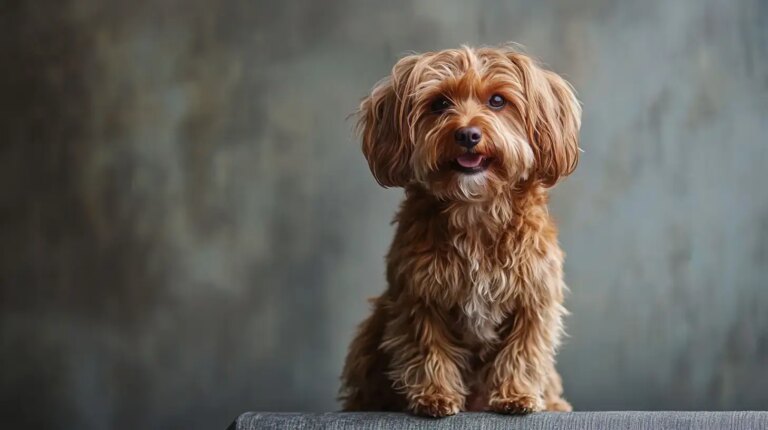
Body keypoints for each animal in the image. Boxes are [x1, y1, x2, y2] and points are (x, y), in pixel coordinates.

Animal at [340, 46, 580, 416]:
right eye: (439, 103)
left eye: (497, 100)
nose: (467, 134)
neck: (475, 209)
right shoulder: (418, 296)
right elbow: (428, 348)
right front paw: (434, 396)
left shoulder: (534, 297)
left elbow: (523, 351)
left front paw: (516, 395)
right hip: (370, 333)